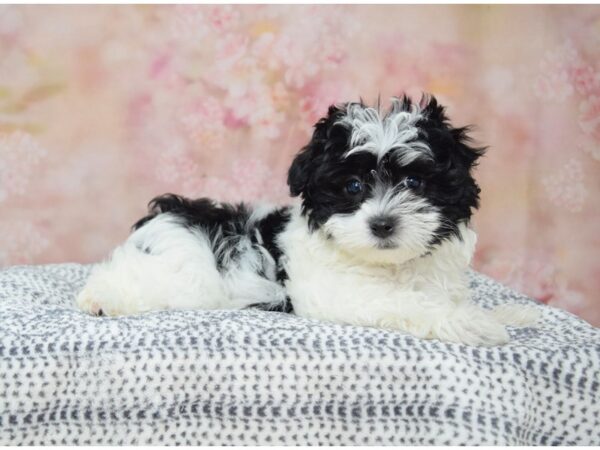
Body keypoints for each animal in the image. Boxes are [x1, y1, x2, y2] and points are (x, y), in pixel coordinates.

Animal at [77, 95, 536, 346]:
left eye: (413, 181)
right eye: (352, 186)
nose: (382, 224)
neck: (390, 266)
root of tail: (164, 215)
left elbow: (449, 298)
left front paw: (509, 313)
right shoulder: (340, 293)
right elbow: (405, 302)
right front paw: (474, 324)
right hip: (184, 272)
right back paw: (100, 298)